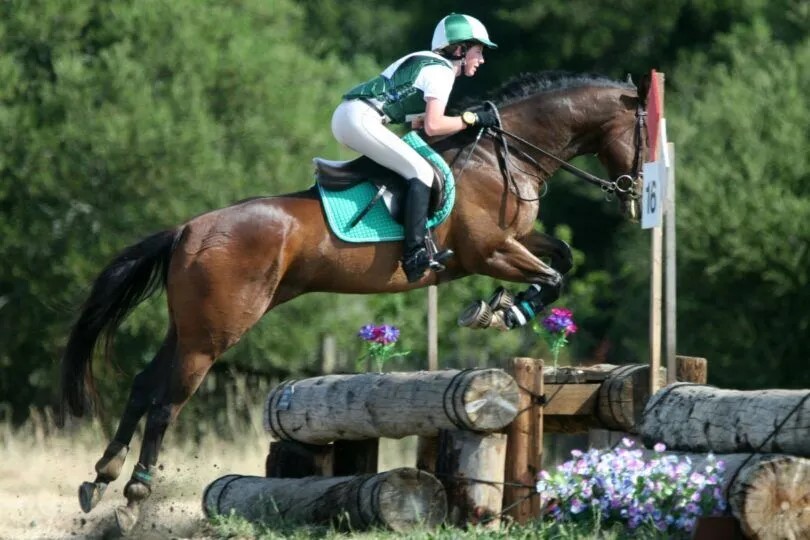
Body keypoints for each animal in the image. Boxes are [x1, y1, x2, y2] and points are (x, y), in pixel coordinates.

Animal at [59, 71, 647, 534]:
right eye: (644, 136)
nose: (635, 193)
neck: (504, 155)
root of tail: (187, 229)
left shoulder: (515, 241)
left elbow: (561, 259)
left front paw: (503, 307)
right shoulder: (489, 251)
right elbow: (551, 277)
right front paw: (503, 310)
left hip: (186, 326)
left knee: (142, 387)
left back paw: (100, 480)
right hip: (213, 333)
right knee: (166, 404)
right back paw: (132, 501)